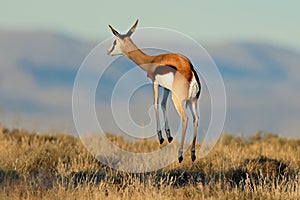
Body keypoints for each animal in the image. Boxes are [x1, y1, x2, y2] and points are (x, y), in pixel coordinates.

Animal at [106, 19, 200, 162]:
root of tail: (191, 72)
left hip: (178, 100)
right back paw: (193, 154)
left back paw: (180, 155)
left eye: (115, 41)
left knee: (185, 118)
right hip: (193, 101)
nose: (108, 51)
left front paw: (161, 137)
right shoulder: (166, 88)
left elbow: (155, 105)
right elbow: (163, 104)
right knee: (196, 118)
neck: (152, 60)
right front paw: (169, 136)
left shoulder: (154, 84)